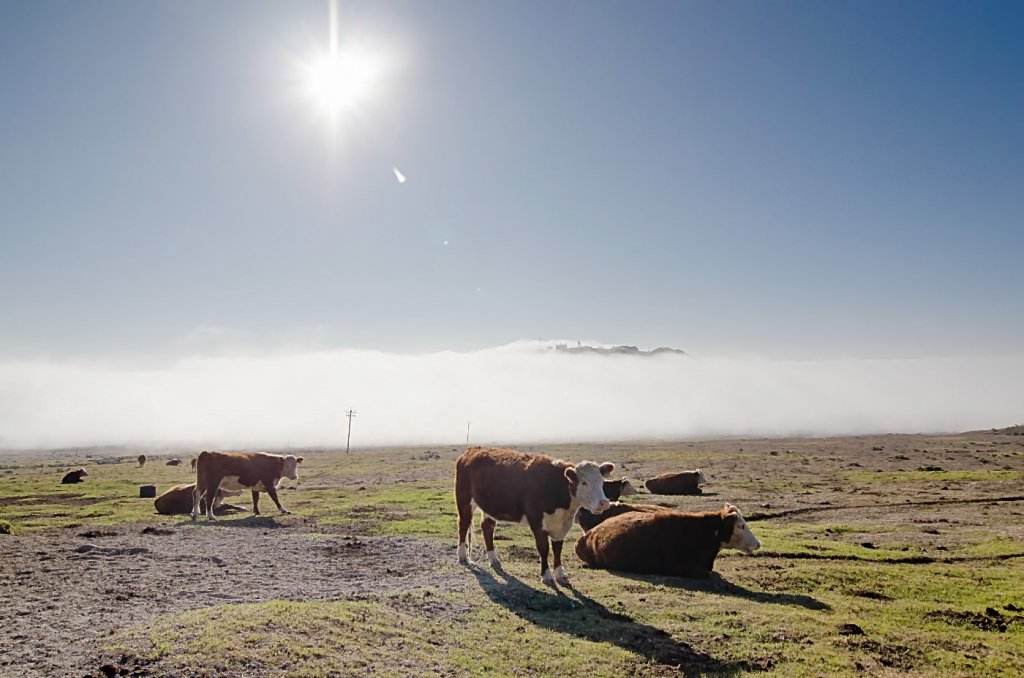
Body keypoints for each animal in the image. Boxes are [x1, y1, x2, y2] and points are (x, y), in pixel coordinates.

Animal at [456, 446, 614, 589]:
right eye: (584, 482)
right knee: (463, 525)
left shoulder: (561, 526)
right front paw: (547, 576)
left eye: (602, 482)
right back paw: (462, 556)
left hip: (489, 505)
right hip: (464, 501)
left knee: (487, 527)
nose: (604, 502)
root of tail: (472, 450)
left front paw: (560, 576)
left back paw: (493, 559)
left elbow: (557, 550)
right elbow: (544, 549)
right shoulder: (537, 522)